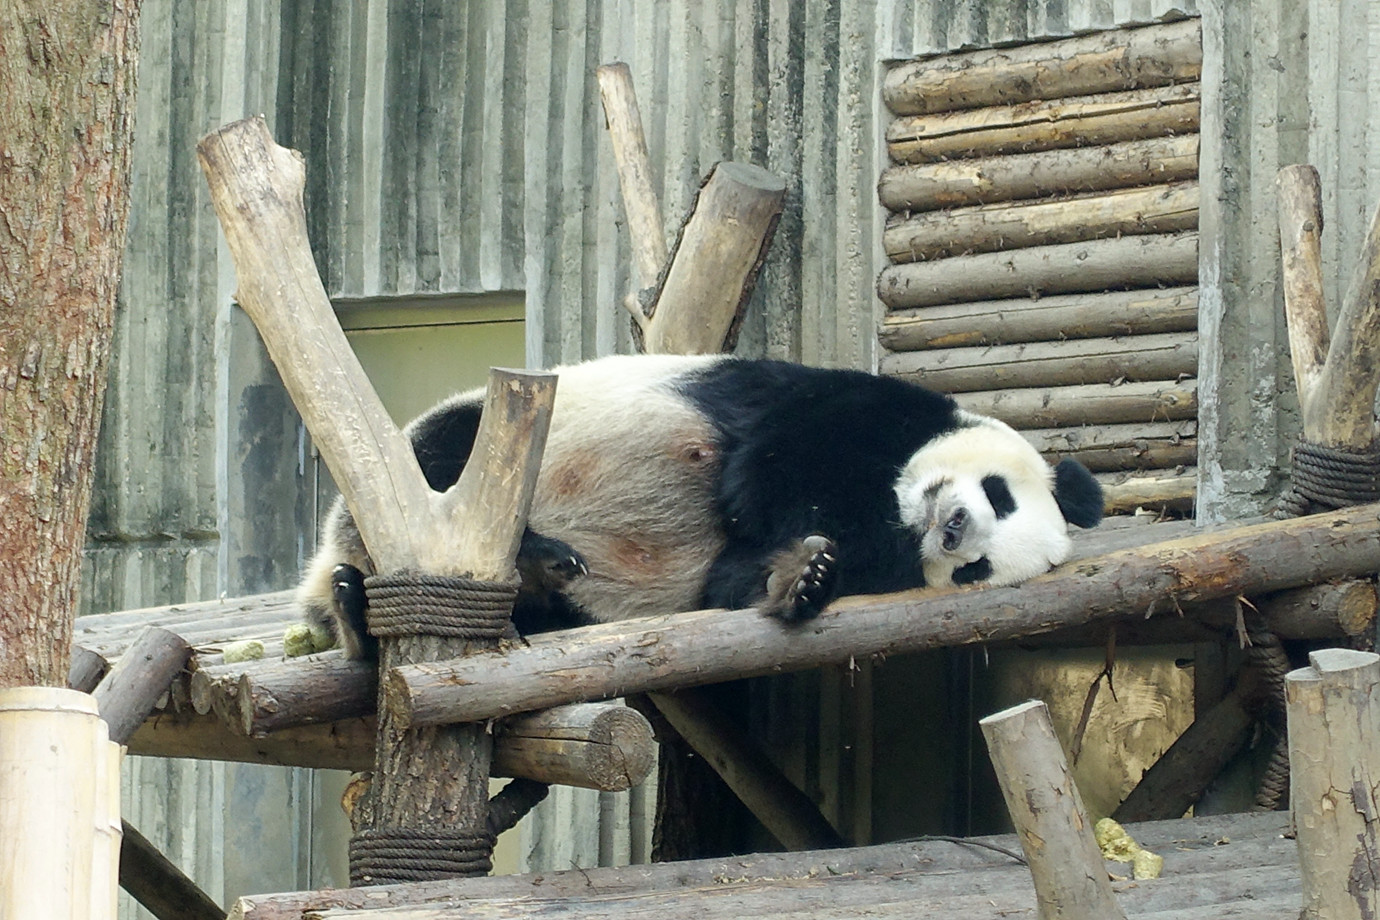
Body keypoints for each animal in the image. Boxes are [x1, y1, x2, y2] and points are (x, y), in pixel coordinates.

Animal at [296, 348, 1104, 659]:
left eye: (977, 571)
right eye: (999, 494)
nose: (955, 530)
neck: (892, 503)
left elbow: (732, 577)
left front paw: (804, 579)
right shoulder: (855, 410)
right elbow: (768, 466)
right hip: (486, 435)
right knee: (441, 460)